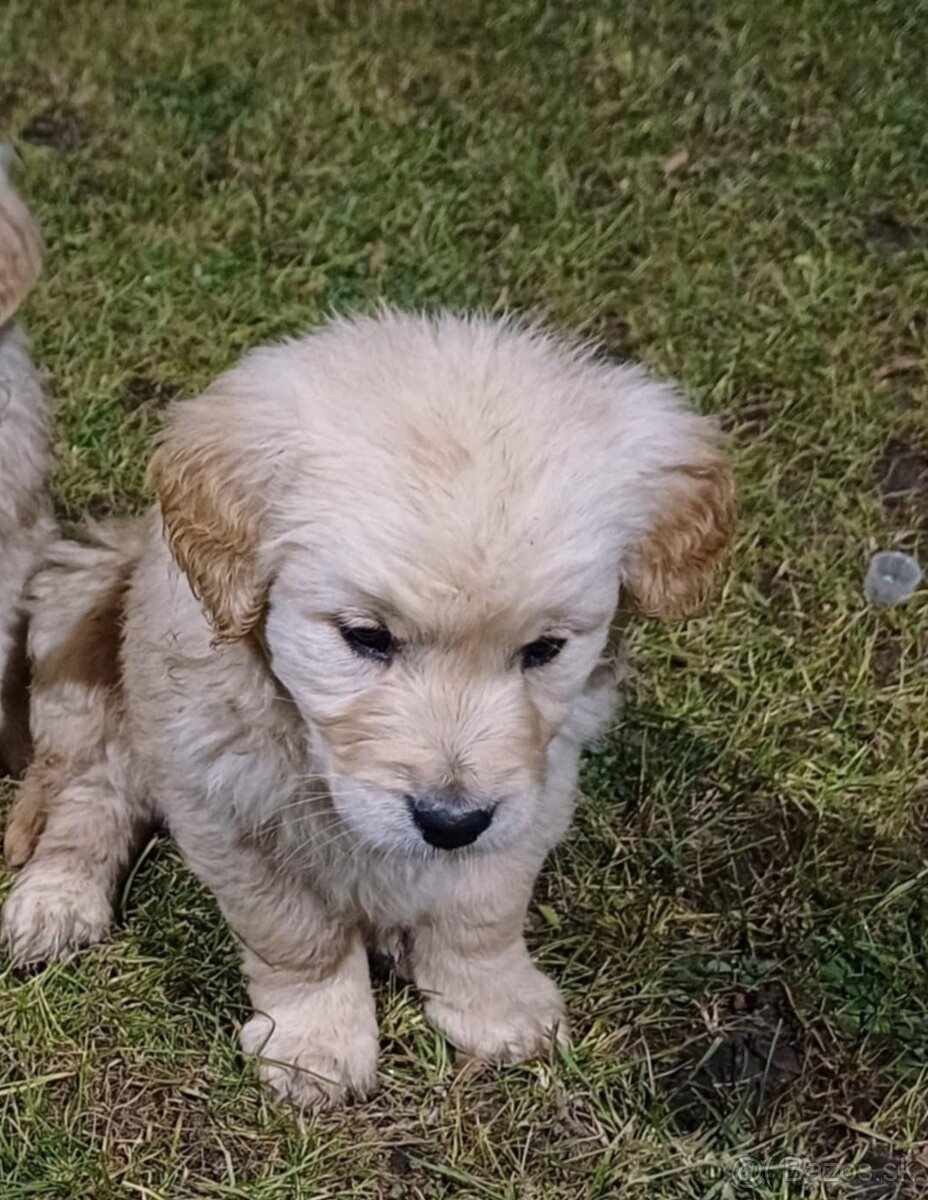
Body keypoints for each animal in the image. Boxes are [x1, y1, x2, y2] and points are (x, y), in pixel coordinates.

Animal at [3, 309, 734, 1104]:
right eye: (365, 637)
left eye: (545, 649)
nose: (449, 823)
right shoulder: (225, 801)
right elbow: (298, 935)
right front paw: (316, 1045)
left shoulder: (534, 783)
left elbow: (483, 911)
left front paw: (495, 1006)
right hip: (80, 630)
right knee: (92, 792)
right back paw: (56, 900)